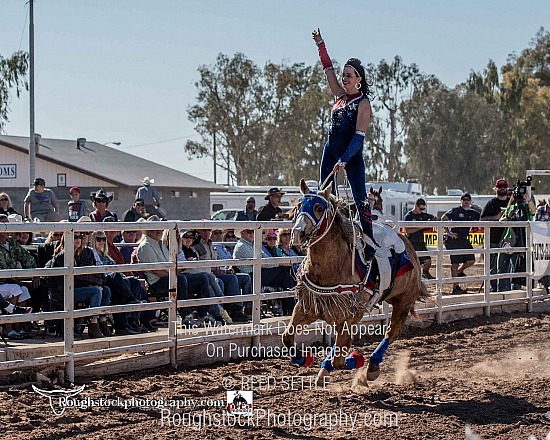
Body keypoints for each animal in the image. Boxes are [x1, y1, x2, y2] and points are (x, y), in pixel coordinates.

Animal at [284, 179, 432, 384]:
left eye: (318, 208)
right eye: (299, 206)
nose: (297, 233)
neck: (334, 264)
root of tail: (409, 248)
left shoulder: (352, 314)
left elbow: (339, 360)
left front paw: (356, 359)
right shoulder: (308, 306)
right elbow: (287, 338)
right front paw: (304, 358)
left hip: (404, 301)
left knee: (391, 333)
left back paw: (372, 366)